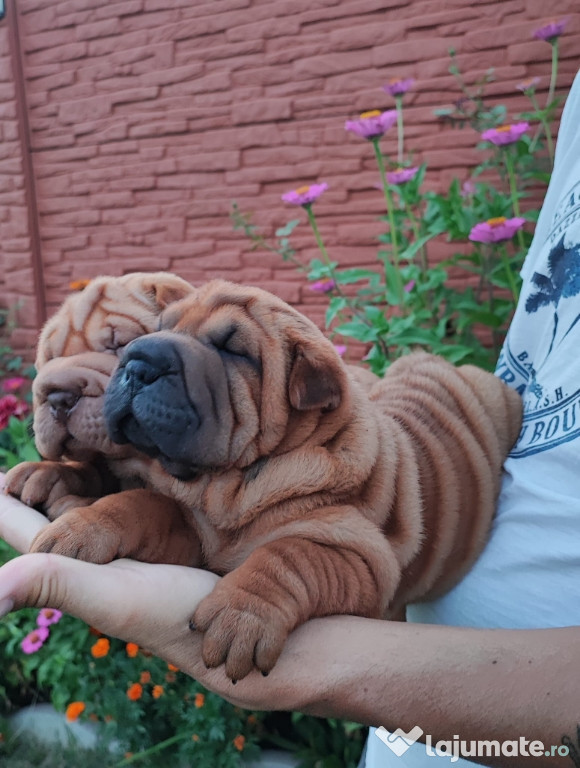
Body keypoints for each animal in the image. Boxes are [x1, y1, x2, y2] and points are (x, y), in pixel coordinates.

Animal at [3, 272, 199, 568]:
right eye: (50, 358)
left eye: (120, 346)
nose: (59, 397)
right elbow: (92, 469)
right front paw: (42, 473)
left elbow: (149, 504)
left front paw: (83, 525)